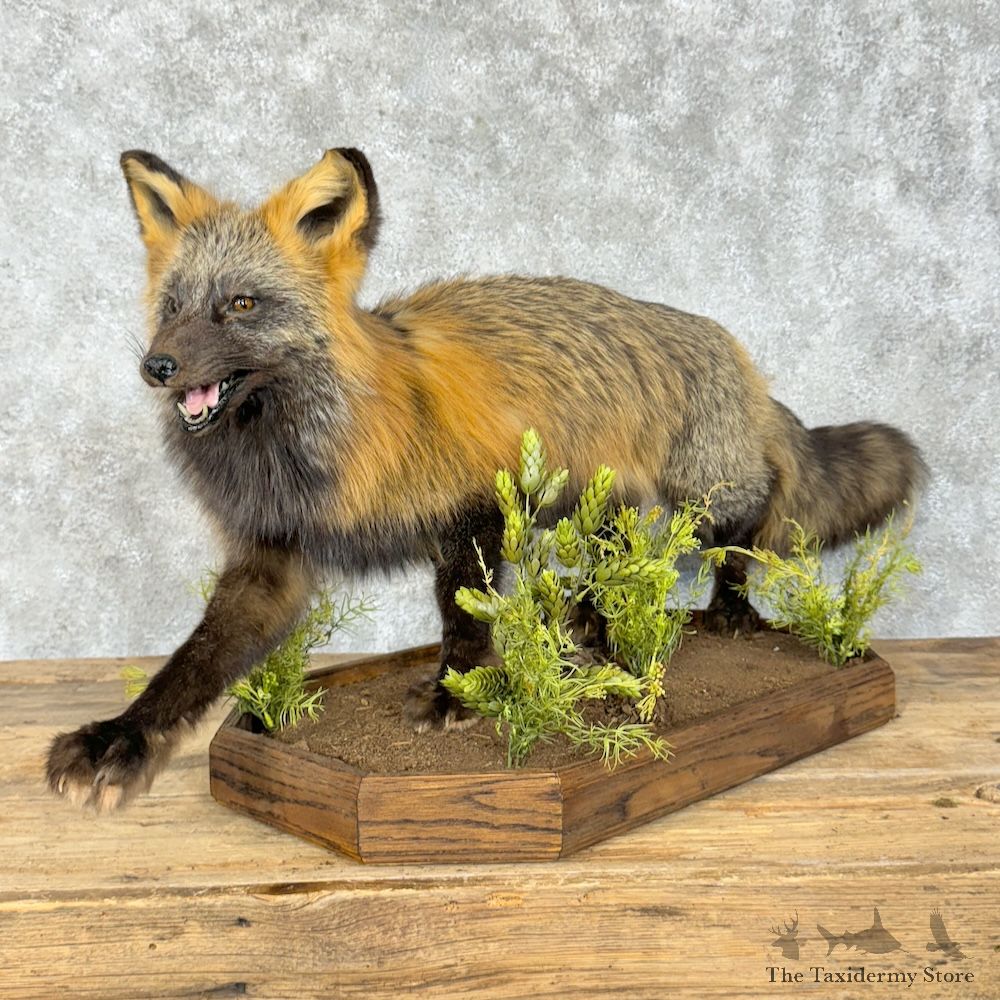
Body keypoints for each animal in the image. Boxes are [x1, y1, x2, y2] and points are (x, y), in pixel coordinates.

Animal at [47, 148, 925, 811]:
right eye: (172, 306)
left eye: (239, 305)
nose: (156, 366)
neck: (317, 446)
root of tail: (733, 349)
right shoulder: (272, 558)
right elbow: (193, 662)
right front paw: (120, 735)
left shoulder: (473, 506)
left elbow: (462, 614)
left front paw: (453, 696)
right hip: (601, 505)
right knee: (604, 573)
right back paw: (591, 634)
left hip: (707, 495)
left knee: (743, 531)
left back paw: (728, 612)